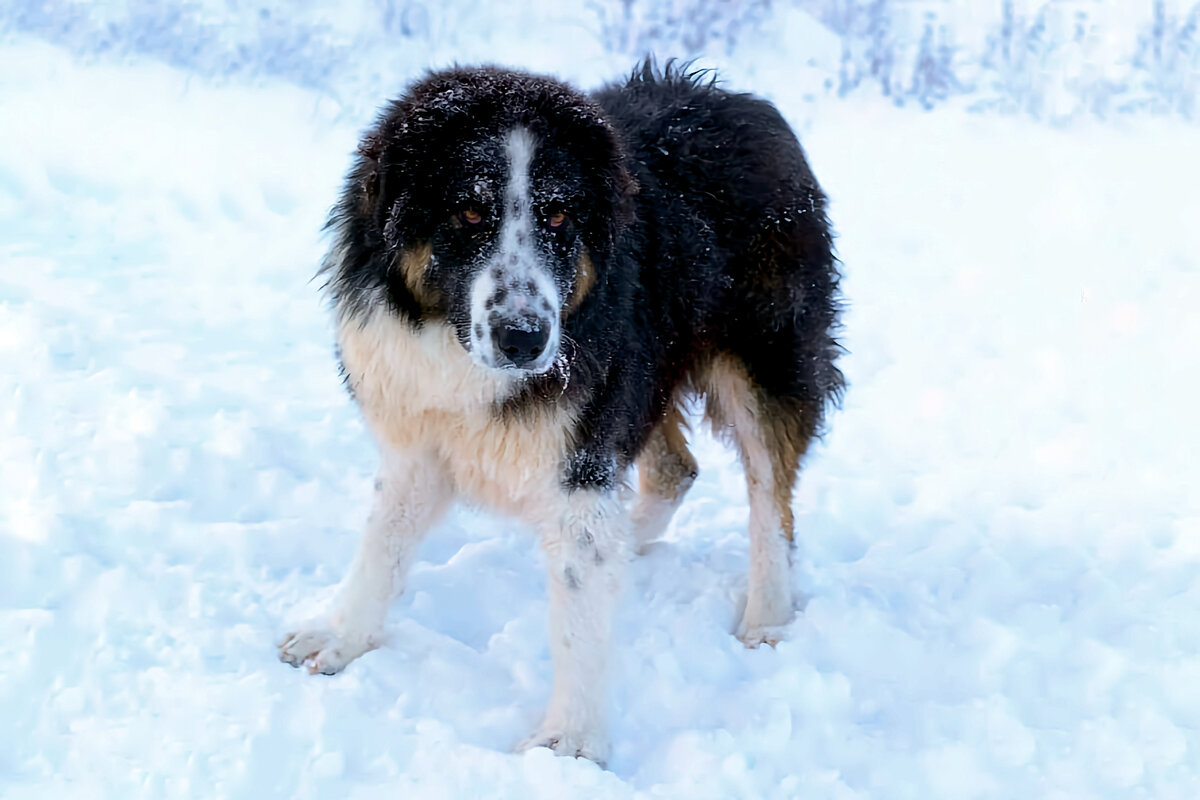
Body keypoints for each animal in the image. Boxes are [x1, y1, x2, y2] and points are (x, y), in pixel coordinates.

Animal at [279, 61, 844, 762]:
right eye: (470, 211)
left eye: (556, 215)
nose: (524, 338)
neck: (462, 358)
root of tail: (745, 103)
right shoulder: (419, 438)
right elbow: (381, 544)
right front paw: (342, 634)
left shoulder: (581, 453)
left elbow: (578, 612)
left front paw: (569, 745)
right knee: (675, 470)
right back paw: (636, 543)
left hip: (762, 365)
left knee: (771, 505)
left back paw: (766, 618)